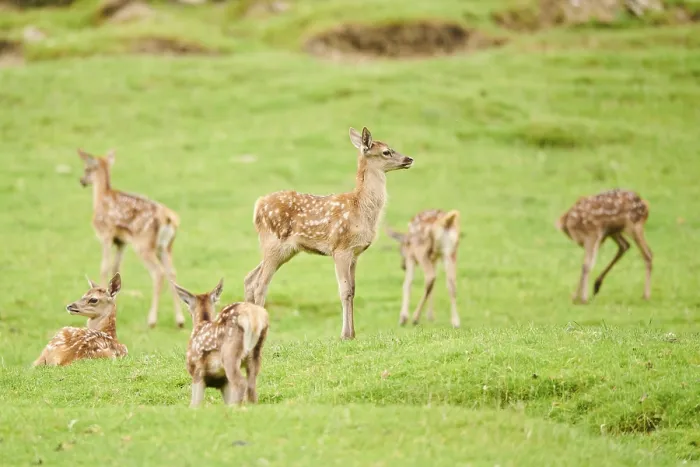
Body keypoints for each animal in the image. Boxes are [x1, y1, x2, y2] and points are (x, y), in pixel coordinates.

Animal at [77, 148, 184, 329]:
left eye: (87, 168)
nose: (82, 181)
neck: (101, 196)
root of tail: (169, 217)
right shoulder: (121, 242)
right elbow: (116, 267)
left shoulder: (106, 234)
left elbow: (104, 266)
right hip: (166, 246)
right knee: (172, 272)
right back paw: (180, 320)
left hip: (144, 244)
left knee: (158, 273)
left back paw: (152, 320)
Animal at [173, 279, 269, 407]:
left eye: (188, 308)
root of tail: (254, 318)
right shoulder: (224, 381)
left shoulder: (197, 372)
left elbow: (194, 404)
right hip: (256, 354)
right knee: (252, 386)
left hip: (230, 353)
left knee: (241, 383)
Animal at [243, 126, 414, 340]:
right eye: (386, 152)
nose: (409, 159)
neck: (361, 209)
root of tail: (257, 206)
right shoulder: (340, 248)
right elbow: (345, 290)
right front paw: (345, 334)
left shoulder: (355, 253)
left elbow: (353, 290)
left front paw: (353, 333)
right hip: (273, 243)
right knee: (260, 285)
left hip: (285, 250)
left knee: (249, 279)